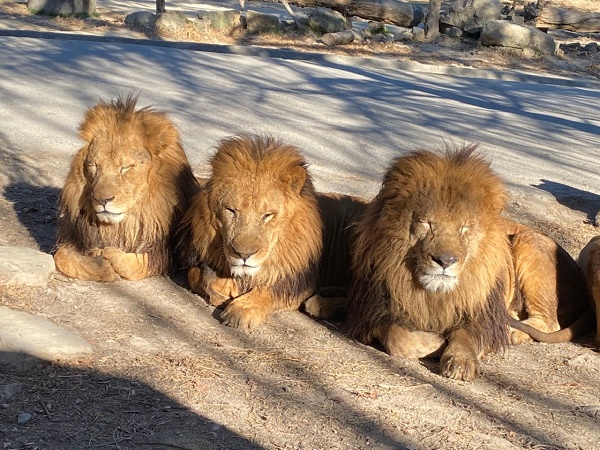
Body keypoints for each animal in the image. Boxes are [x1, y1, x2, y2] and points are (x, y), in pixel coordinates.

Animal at [54, 95, 199, 282]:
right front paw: (101, 267)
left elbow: (137, 265)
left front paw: (107, 255)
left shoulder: (165, 253)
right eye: (94, 166)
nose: (102, 200)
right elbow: (61, 257)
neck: (121, 226)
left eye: (126, 167)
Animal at [178, 134, 366, 330]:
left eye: (267, 215)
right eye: (231, 210)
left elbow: (268, 290)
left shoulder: (300, 282)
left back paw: (320, 305)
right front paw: (224, 289)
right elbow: (195, 275)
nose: (243, 255)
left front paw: (242, 308)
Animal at [310, 146, 592, 382]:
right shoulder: (377, 304)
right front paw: (434, 341)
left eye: (464, 228)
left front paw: (458, 359)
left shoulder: (478, 314)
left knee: (548, 322)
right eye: (427, 223)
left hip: (528, 242)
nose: (445, 261)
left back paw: (512, 331)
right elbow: (397, 337)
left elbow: (463, 335)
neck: (430, 291)